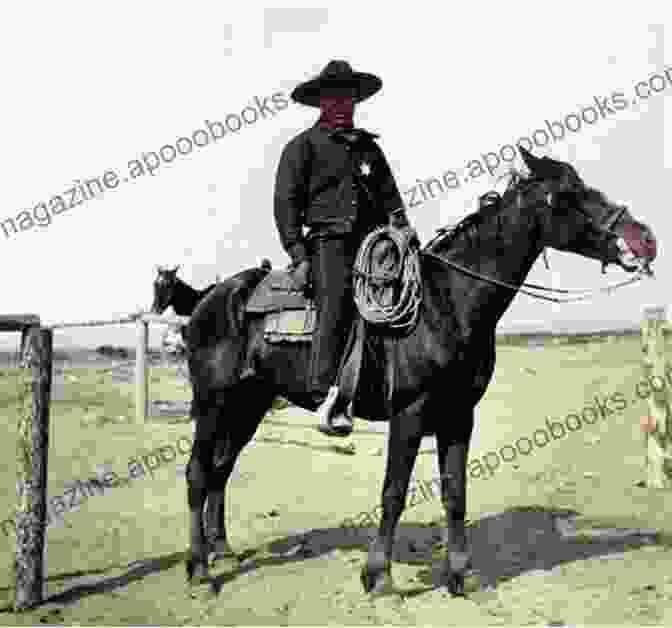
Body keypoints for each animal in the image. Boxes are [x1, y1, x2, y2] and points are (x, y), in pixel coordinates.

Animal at [182, 147, 656, 592]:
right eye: (571, 194)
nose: (645, 238)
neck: (446, 302)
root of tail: (212, 297)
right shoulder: (409, 413)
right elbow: (393, 492)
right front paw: (378, 575)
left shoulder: (459, 415)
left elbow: (455, 491)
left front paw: (461, 574)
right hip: (212, 403)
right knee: (198, 473)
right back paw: (200, 569)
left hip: (250, 402)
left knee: (221, 469)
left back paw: (222, 551)